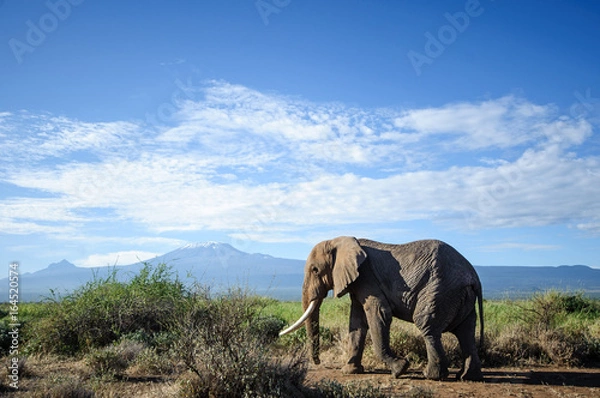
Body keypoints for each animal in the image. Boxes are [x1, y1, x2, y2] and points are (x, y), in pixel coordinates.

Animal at [280, 238, 482, 380]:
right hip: (460, 296)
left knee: (428, 326)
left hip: (439, 290)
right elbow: (357, 322)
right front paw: (350, 371)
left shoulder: (366, 277)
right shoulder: (358, 282)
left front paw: (400, 370)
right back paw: (466, 377)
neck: (340, 240)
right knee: (466, 331)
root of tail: (473, 275)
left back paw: (431, 376)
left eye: (315, 270)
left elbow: (379, 313)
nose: (318, 362)